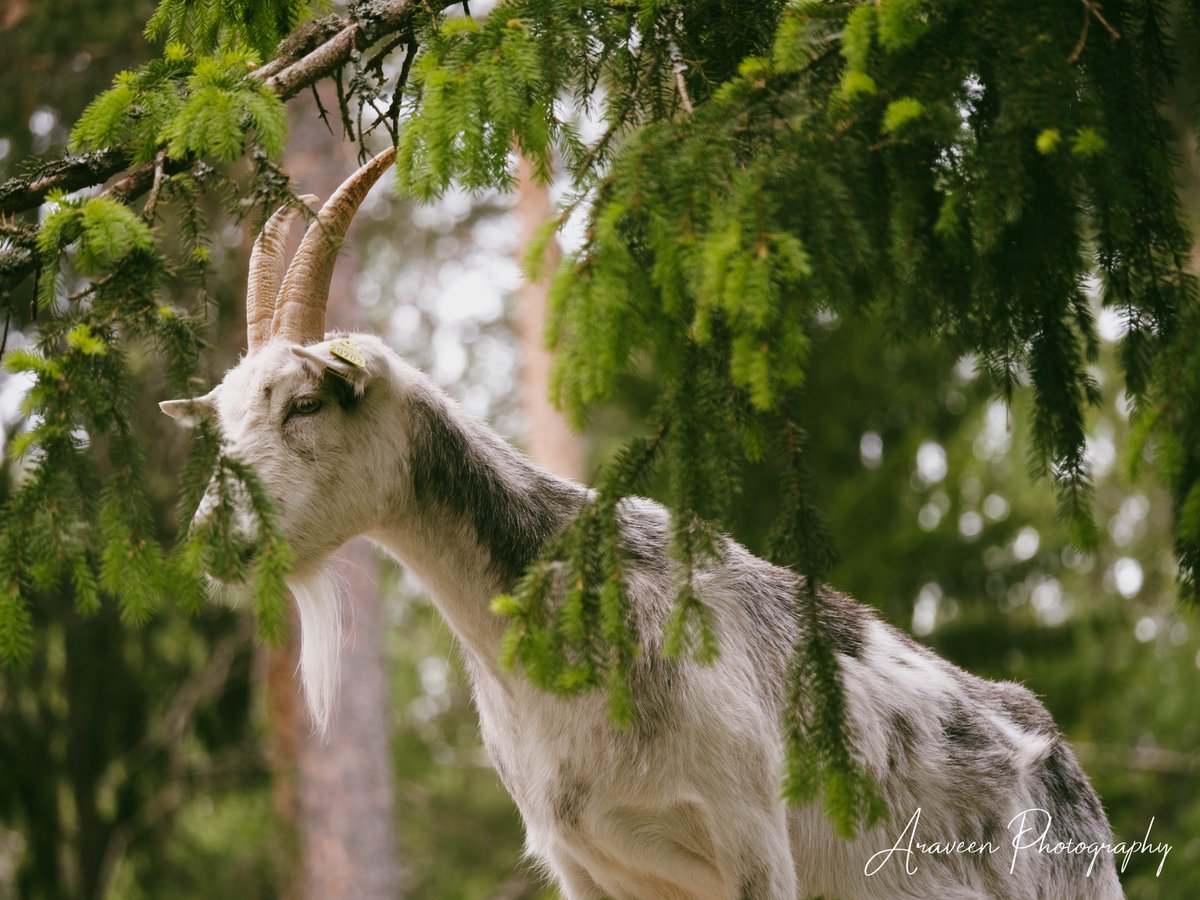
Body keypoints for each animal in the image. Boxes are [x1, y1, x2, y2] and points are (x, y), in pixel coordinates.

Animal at [161, 148, 1125, 899]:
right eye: (222, 424)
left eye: (307, 401)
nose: (210, 537)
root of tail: (1068, 772)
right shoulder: (587, 863)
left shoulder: (751, 838)